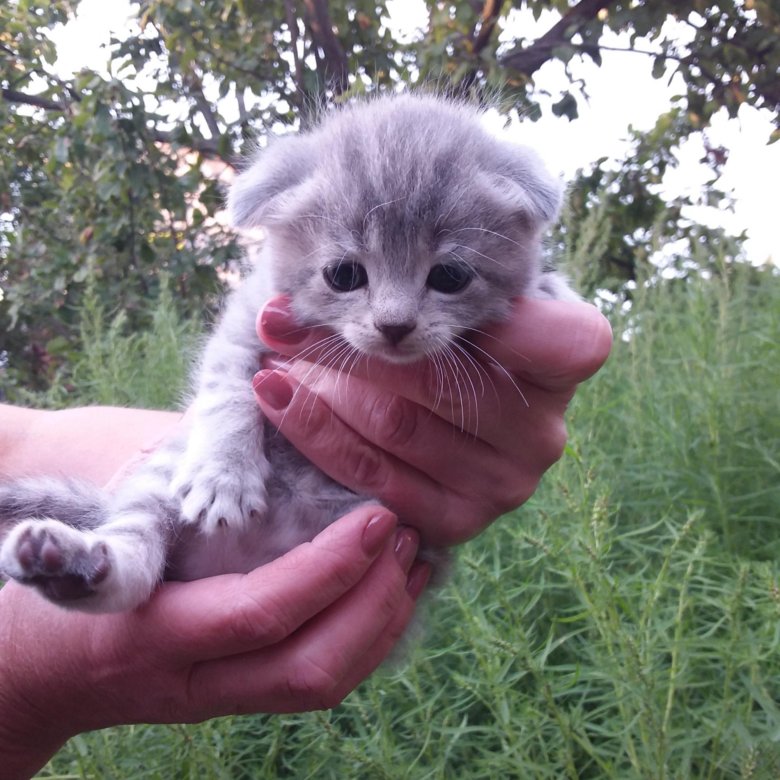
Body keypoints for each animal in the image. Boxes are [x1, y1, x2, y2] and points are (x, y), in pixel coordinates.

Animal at [0, 94, 572, 612]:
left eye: (450, 277)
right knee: (135, 566)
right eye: (344, 274)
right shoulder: (247, 320)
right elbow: (230, 391)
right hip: (159, 479)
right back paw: (74, 565)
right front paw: (224, 476)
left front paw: (551, 290)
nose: (394, 325)